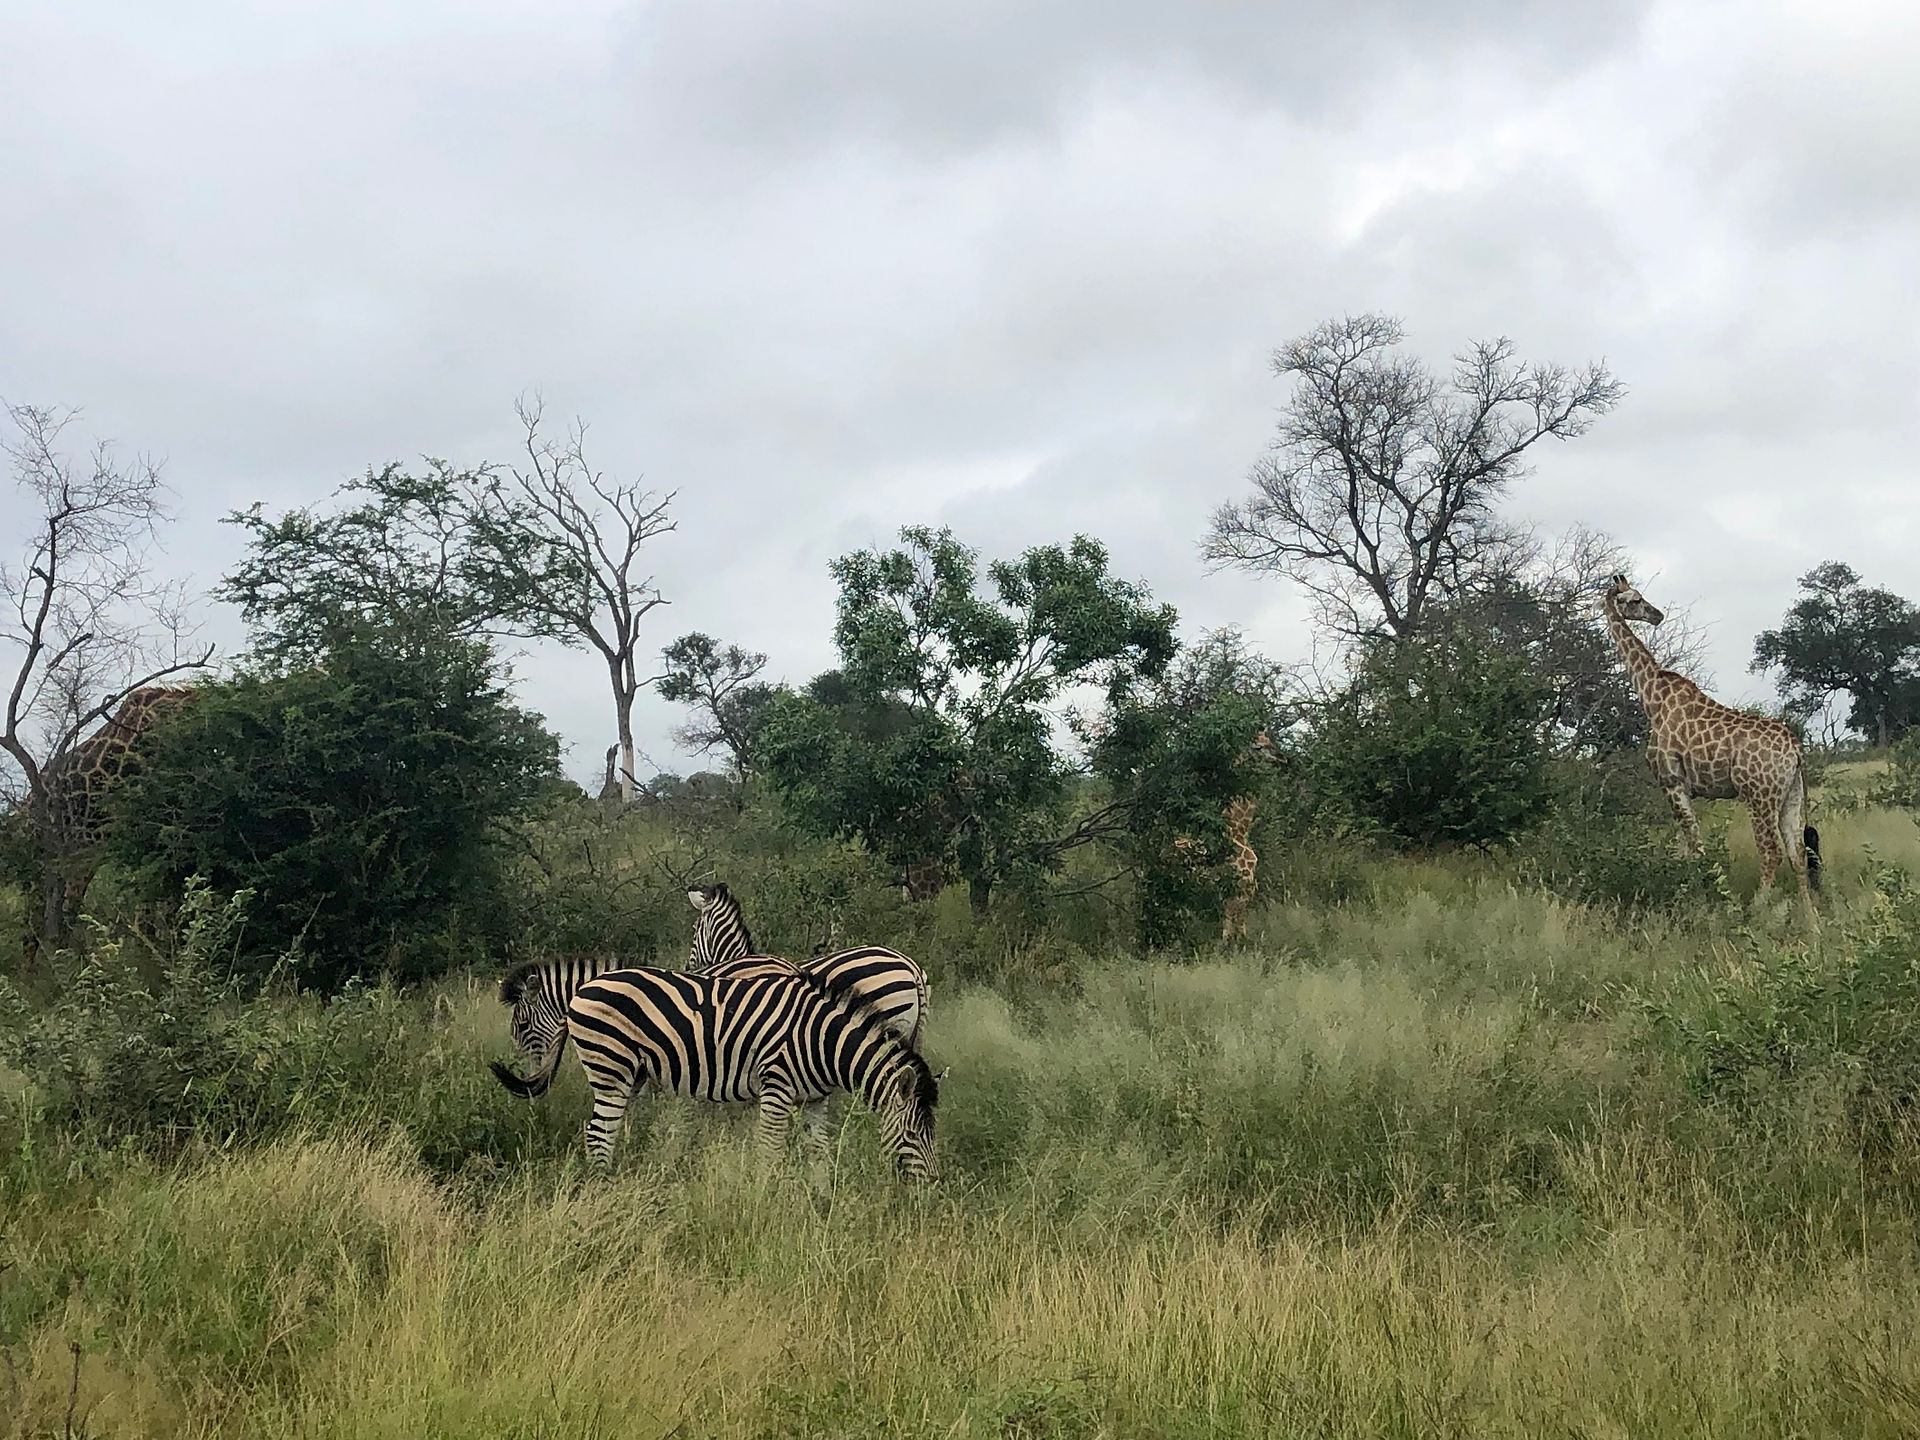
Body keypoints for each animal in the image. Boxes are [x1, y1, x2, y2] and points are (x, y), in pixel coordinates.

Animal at [489, 964, 940, 1181]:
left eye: (930, 1135)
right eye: (913, 1135)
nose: (932, 1186)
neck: (820, 1040)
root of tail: (583, 989)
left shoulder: (816, 1099)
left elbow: (819, 1153)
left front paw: (820, 1200)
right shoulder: (776, 1089)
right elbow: (769, 1151)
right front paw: (768, 1201)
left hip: (628, 1075)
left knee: (603, 1132)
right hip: (611, 1070)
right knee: (598, 1134)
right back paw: (603, 1187)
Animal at [1600, 576, 1819, 915]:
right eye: (1636, 599)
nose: (1657, 615)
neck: (1652, 697)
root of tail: (1795, 748)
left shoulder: (1670, 781)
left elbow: (1697, 846)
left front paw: (1706, 897)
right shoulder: (1685, 789)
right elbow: (1684, 849)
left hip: (1759, 796)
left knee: (1772, 851)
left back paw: (1755, 911)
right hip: (1791, 794)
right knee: (1797, 853)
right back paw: (1813, 921)